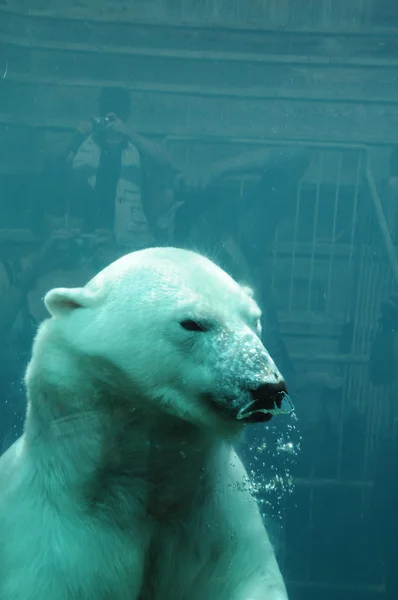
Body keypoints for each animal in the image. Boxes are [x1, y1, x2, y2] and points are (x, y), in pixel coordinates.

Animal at [0, 246, 292, 596]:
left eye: (254, 318)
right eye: (192, 323)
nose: (267, 387)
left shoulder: (218, 523)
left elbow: (249, 578)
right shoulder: (57, 542)